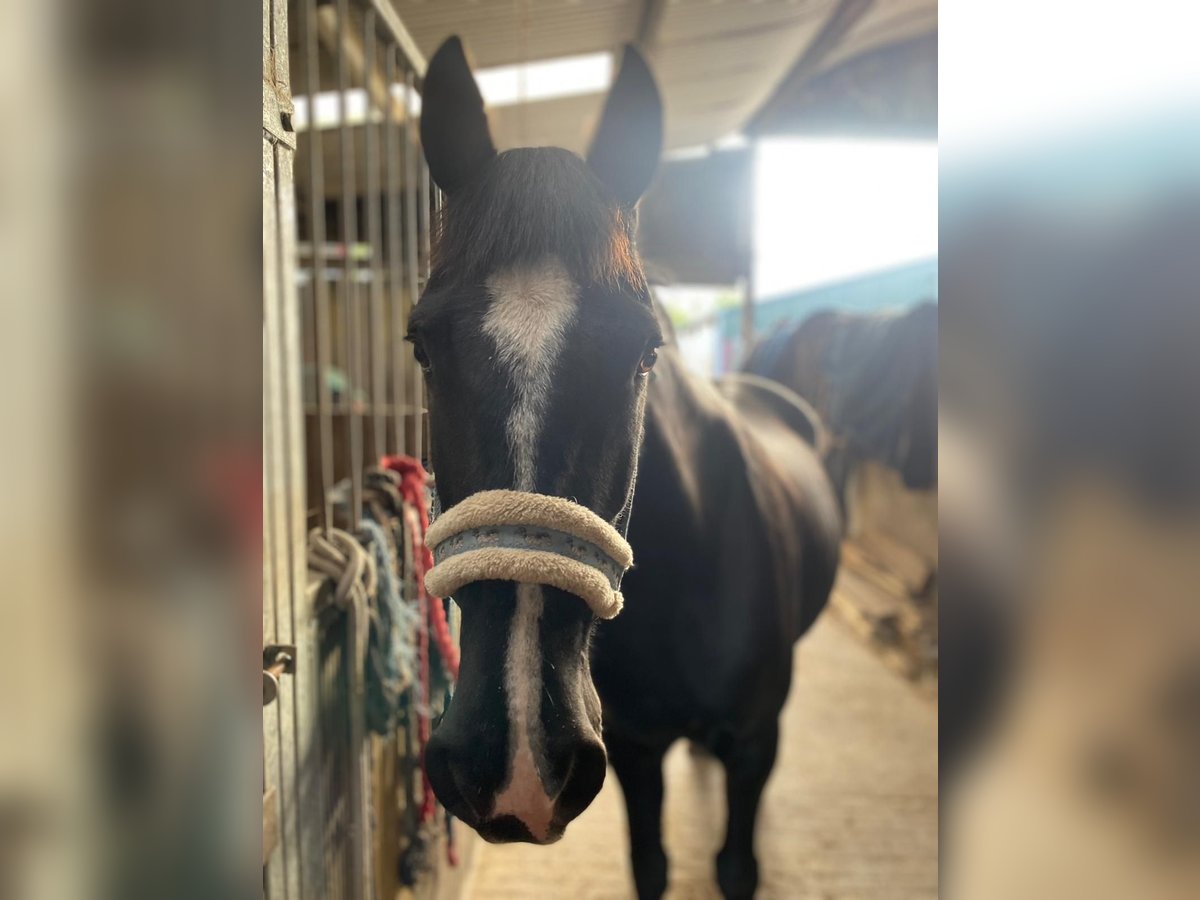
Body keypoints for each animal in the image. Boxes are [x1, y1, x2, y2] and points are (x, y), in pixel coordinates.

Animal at [417, 37, 840, 900]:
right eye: (422, 347)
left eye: (644, 351)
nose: (513, 764)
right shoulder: (639, 751)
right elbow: (652, 867)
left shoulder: (755, 743)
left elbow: (735, 866)